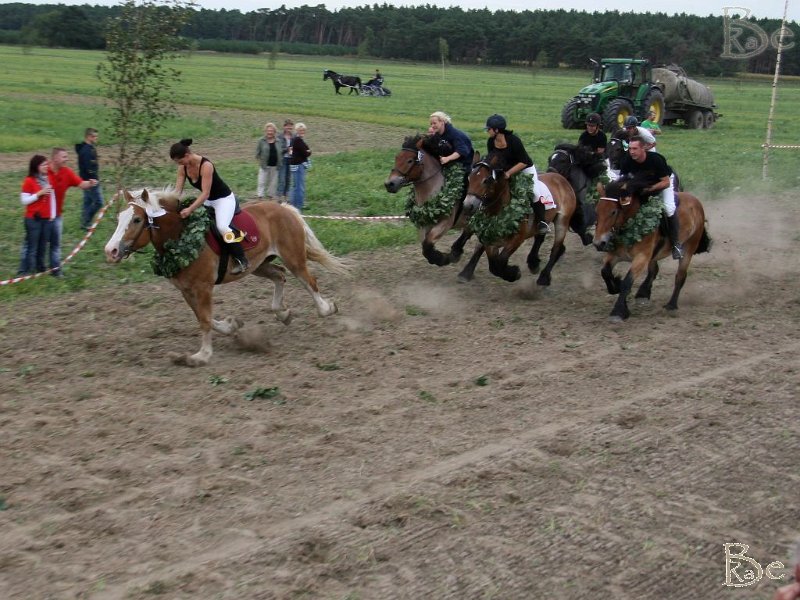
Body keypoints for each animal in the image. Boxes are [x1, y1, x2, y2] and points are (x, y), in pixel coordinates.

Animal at [104, 188, 348, 366]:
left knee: (309, 282)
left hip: (293, 258)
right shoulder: (186, 290)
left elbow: (204, 319)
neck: (181, 236)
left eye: (136, 220)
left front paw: (201, 355)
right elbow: (204, 317)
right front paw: (231, 326)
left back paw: (326, 309)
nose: (111, 251)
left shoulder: (203, 287)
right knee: (279, 276)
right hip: (258, 265)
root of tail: (286, 209)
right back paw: (283, 313)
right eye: (119, 217)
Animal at [384, 134, 484, 282]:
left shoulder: (445, 223)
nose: (389, 184)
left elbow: (428, 245)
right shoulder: (424, 222)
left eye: (409, 160)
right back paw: (457, 254)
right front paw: (443, 257)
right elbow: (424, 245)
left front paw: (442, 258)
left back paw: (465, 271)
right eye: (396, 157)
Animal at [463, 152, 577, 286]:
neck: (499, 211)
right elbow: (493, 265)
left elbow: (499, 262)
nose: (468, 206)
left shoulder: (517, 239)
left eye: (486, 180)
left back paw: (543, 278)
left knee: (556, 249)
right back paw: (533, 263)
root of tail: (560, 178)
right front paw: (512, 272)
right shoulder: (491, 242)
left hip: (562, 221)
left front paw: (514, 273)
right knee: (540, 238)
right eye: (469, 178)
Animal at [593, 179, 711, 322]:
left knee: (680, 276)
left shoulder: (641, 257)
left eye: (613, 212)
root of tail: (695, 201)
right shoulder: (615, 255)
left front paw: (618, 311)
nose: (599, 243)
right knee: (654, 270)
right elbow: (605, 271)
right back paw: (643, 293)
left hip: (689, 248)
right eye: (597, 211)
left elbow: (627, 282)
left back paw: (671, 305)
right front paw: (616, 286)